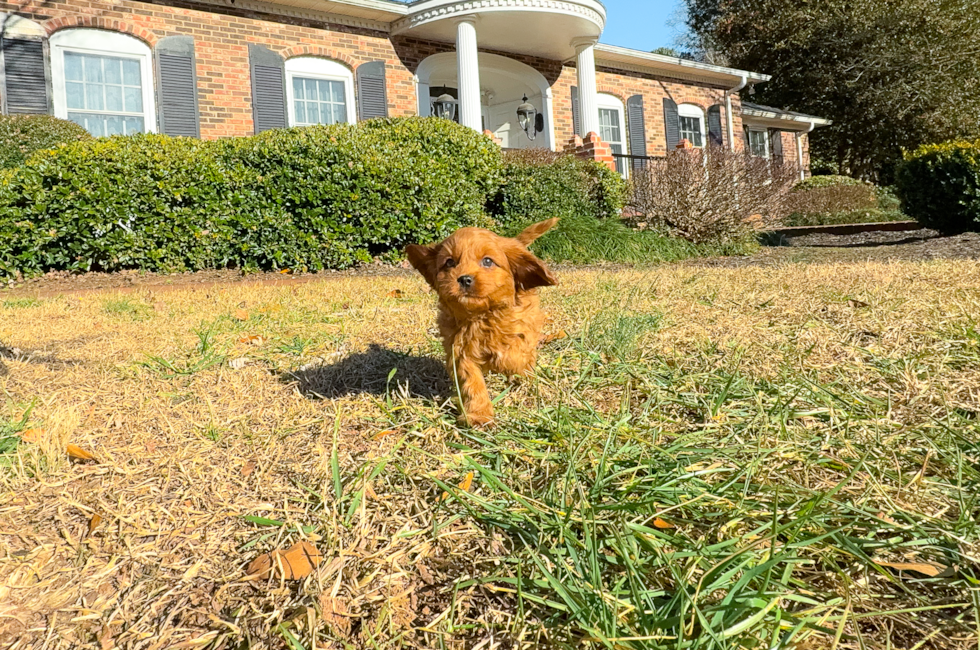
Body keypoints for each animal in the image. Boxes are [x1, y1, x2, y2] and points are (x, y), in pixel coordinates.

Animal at [406, 220, 560, 428]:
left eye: (487, 261)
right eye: (449, 262)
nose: (464, 278)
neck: (482, 316)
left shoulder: (523, 326)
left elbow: (515, 354)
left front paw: (505, 363)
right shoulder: (460, 352)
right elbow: (472, 382)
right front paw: (479, 415)